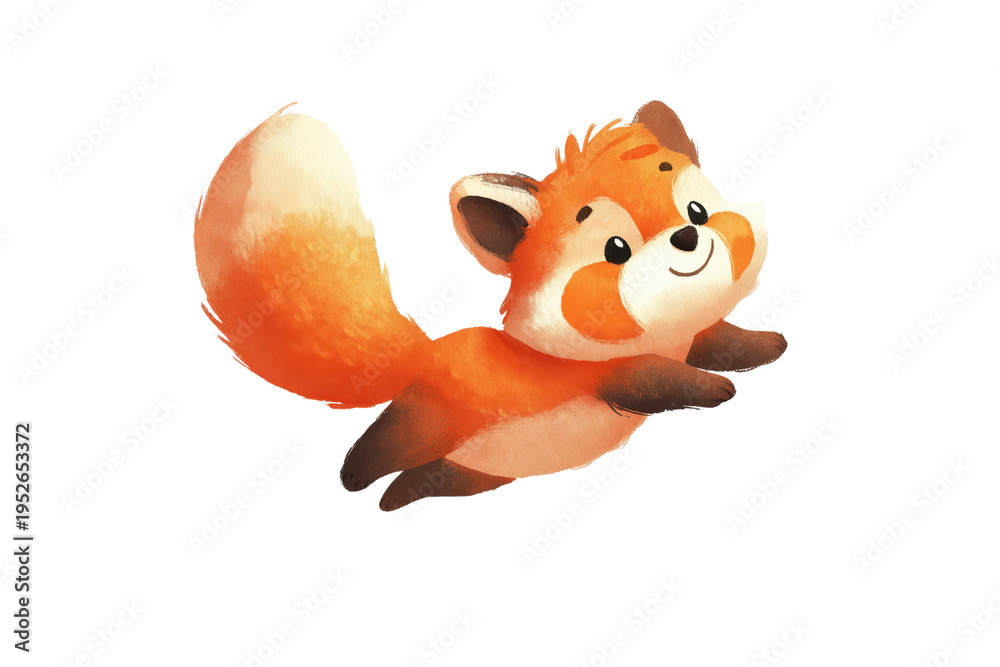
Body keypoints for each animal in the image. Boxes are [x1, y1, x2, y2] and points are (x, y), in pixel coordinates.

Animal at [194, 100, 787, 511]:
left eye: (696, 211)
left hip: (472, 474)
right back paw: (354, 477)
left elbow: (726, 339)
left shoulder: (694, 338)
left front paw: (768, 345)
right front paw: (715, 388)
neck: (664, 336)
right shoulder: (611, 376)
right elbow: (663, 379)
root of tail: (424, 352)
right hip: (423, 429)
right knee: (375, 451)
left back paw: (395, 499)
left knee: (418, 483)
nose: (687, 237)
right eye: (616, 250)